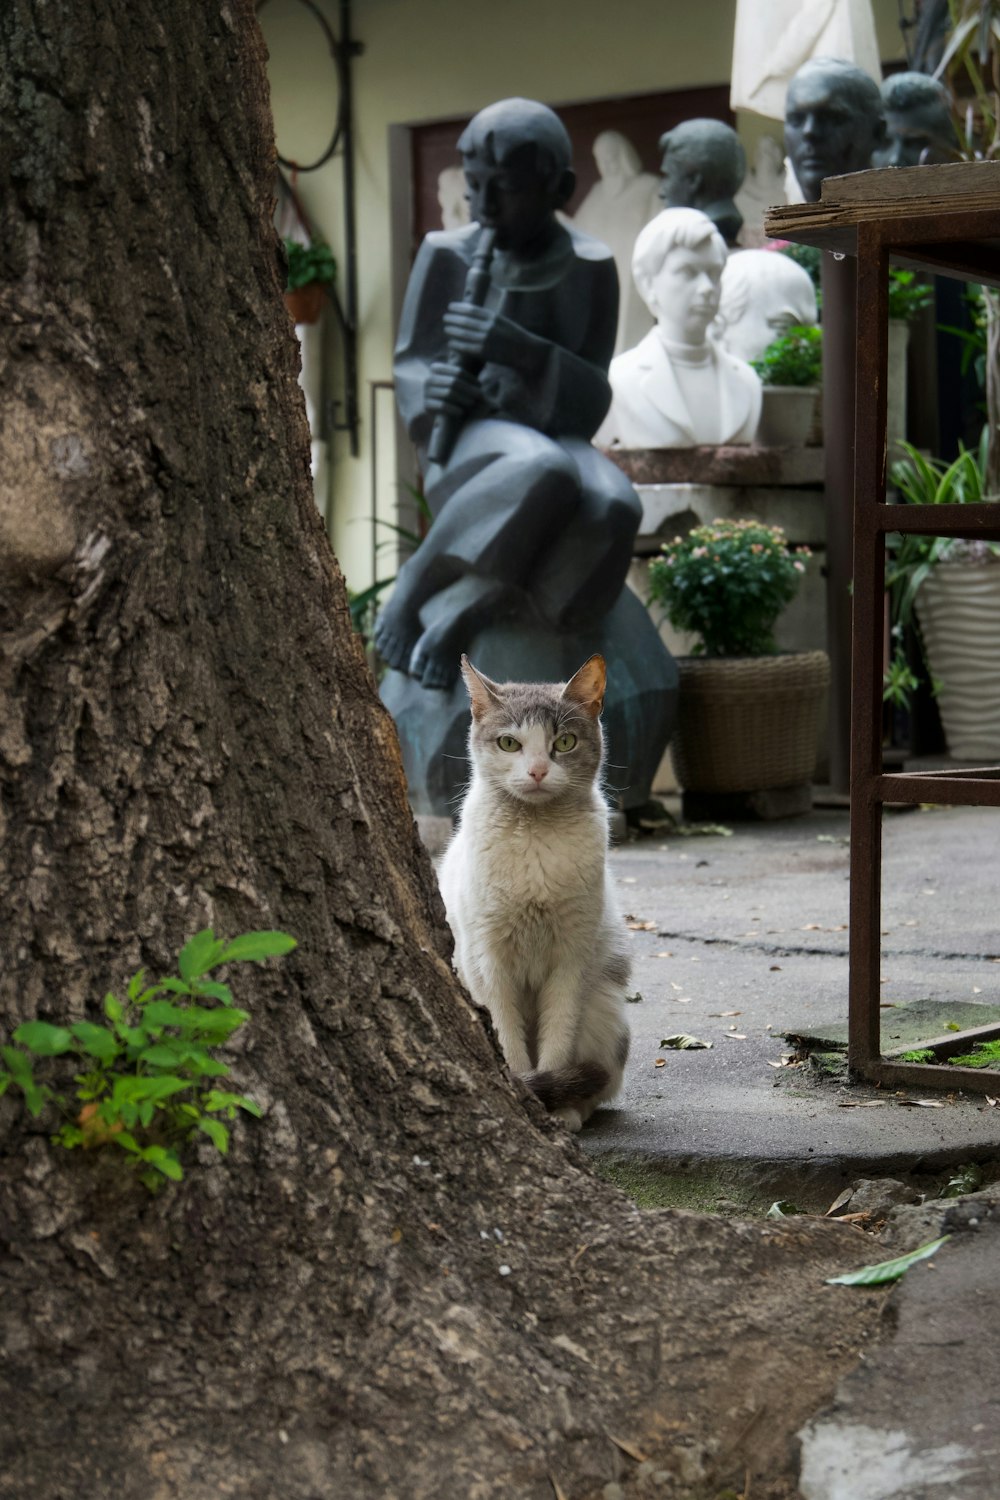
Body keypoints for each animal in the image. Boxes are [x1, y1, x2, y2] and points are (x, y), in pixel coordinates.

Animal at [434, 651, 629, 1128]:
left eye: (564, 742)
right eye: (509, 744)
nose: (538, 770)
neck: (536, 838)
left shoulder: (571, 960)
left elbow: (557, 1041)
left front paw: (555, 1107)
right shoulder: (487, 961)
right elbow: (509, 1041)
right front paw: (525, 1093)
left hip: (604, 1004)